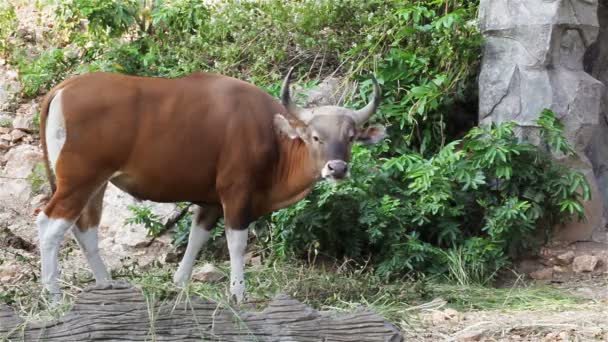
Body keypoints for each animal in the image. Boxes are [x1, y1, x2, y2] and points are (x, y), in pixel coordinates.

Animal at [36, 69, 384, 302]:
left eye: (350, 137)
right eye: (315, 136)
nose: (337, 168)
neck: (273, 139)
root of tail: (64, 87)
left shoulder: (211, 202)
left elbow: (196, 238)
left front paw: (179, 282)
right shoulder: (236, 193)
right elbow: (237, 243)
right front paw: (238, 292)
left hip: (97, 182)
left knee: (85, 227)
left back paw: (105, 283)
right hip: (79, 179)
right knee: (49, 224)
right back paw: (53, 293)